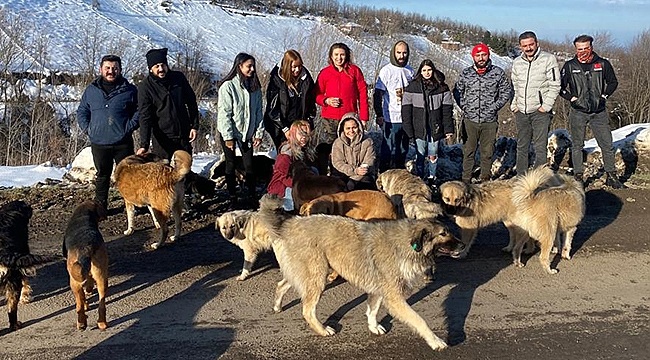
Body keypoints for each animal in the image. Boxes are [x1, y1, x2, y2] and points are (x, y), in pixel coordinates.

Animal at [62, 200, 108, 330]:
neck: (83, 215)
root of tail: (86, 247)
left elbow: (83, 299)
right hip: (101, 277)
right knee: (101, 303)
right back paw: (102, 322)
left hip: (74, 283)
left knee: (80, 304)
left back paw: (81, 323)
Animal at [256, 194, 464, 352]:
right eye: (443, 234)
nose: (462, 245)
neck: (408, 244)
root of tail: (290, 224)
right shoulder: (395, 298)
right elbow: (419, 320)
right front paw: (435, 341)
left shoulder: (380, 290)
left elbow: (372, 310)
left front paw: (373, 327)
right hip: (317, 276)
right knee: (307, 310)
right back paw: (322, 330)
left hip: (304, 273)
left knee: (282, 284)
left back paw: (277, 305)